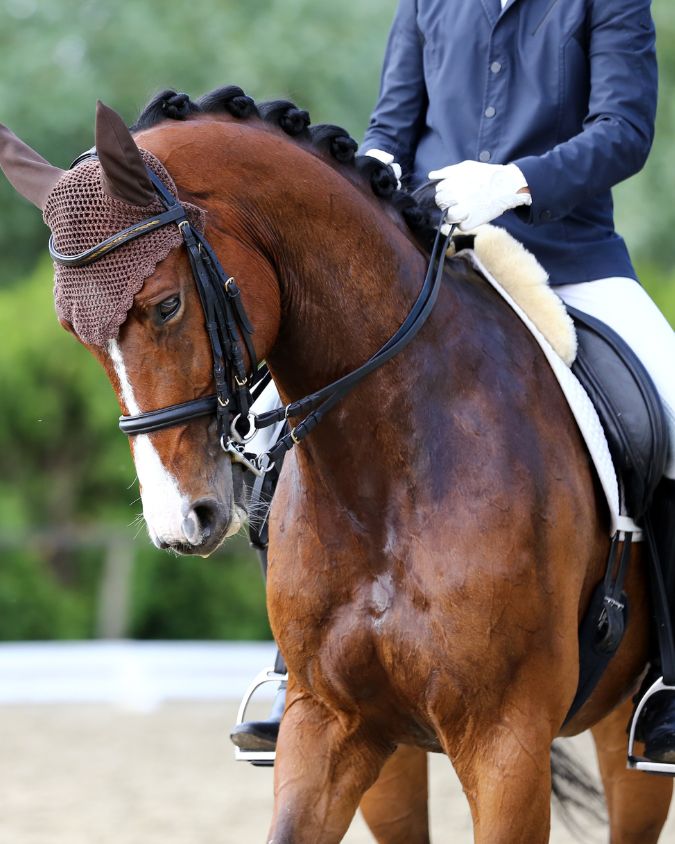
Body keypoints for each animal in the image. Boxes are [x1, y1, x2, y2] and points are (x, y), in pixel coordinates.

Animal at [0, 88, 673, 843]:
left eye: (166, 305)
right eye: (74, 333)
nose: (181, 521)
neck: (386, 479)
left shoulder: (507, 743)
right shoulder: (330, 722)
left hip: (621, 730)